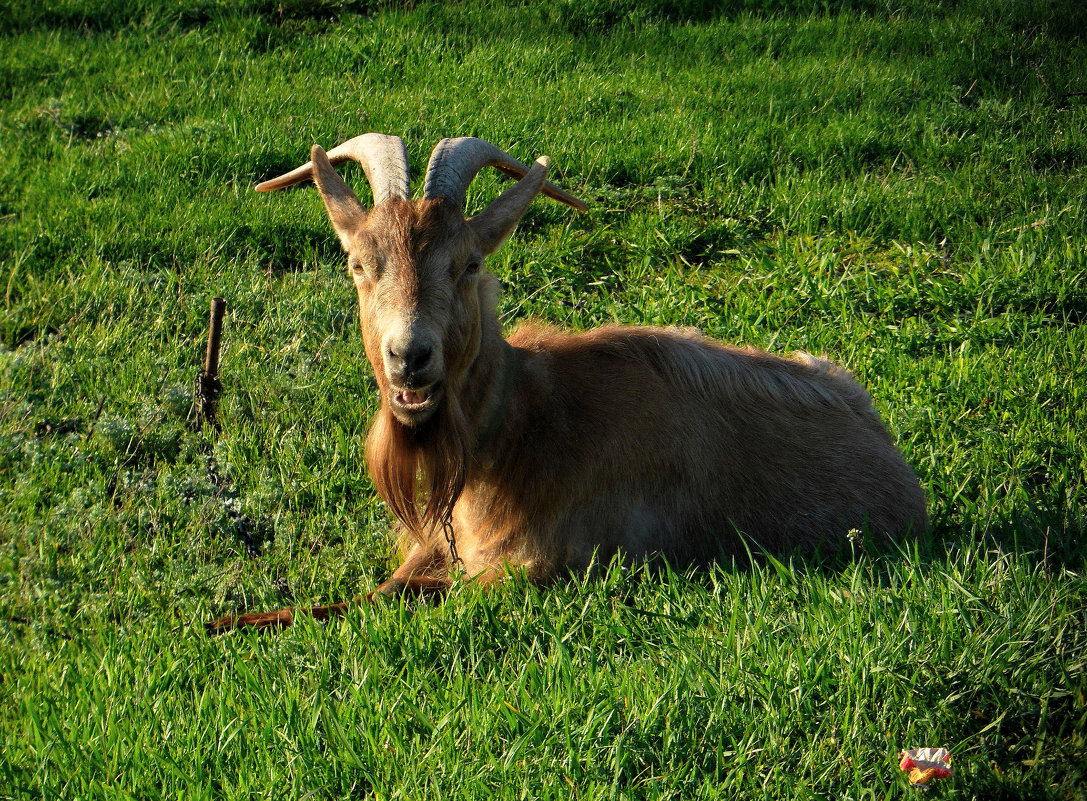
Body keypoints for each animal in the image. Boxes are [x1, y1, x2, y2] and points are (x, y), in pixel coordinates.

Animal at [204, 132, 926, 630]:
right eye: (358, 262)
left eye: (469, 263)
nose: (410, 356)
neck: (517, 429)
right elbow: (364, 596)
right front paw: (221, 622)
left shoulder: (539, 568)